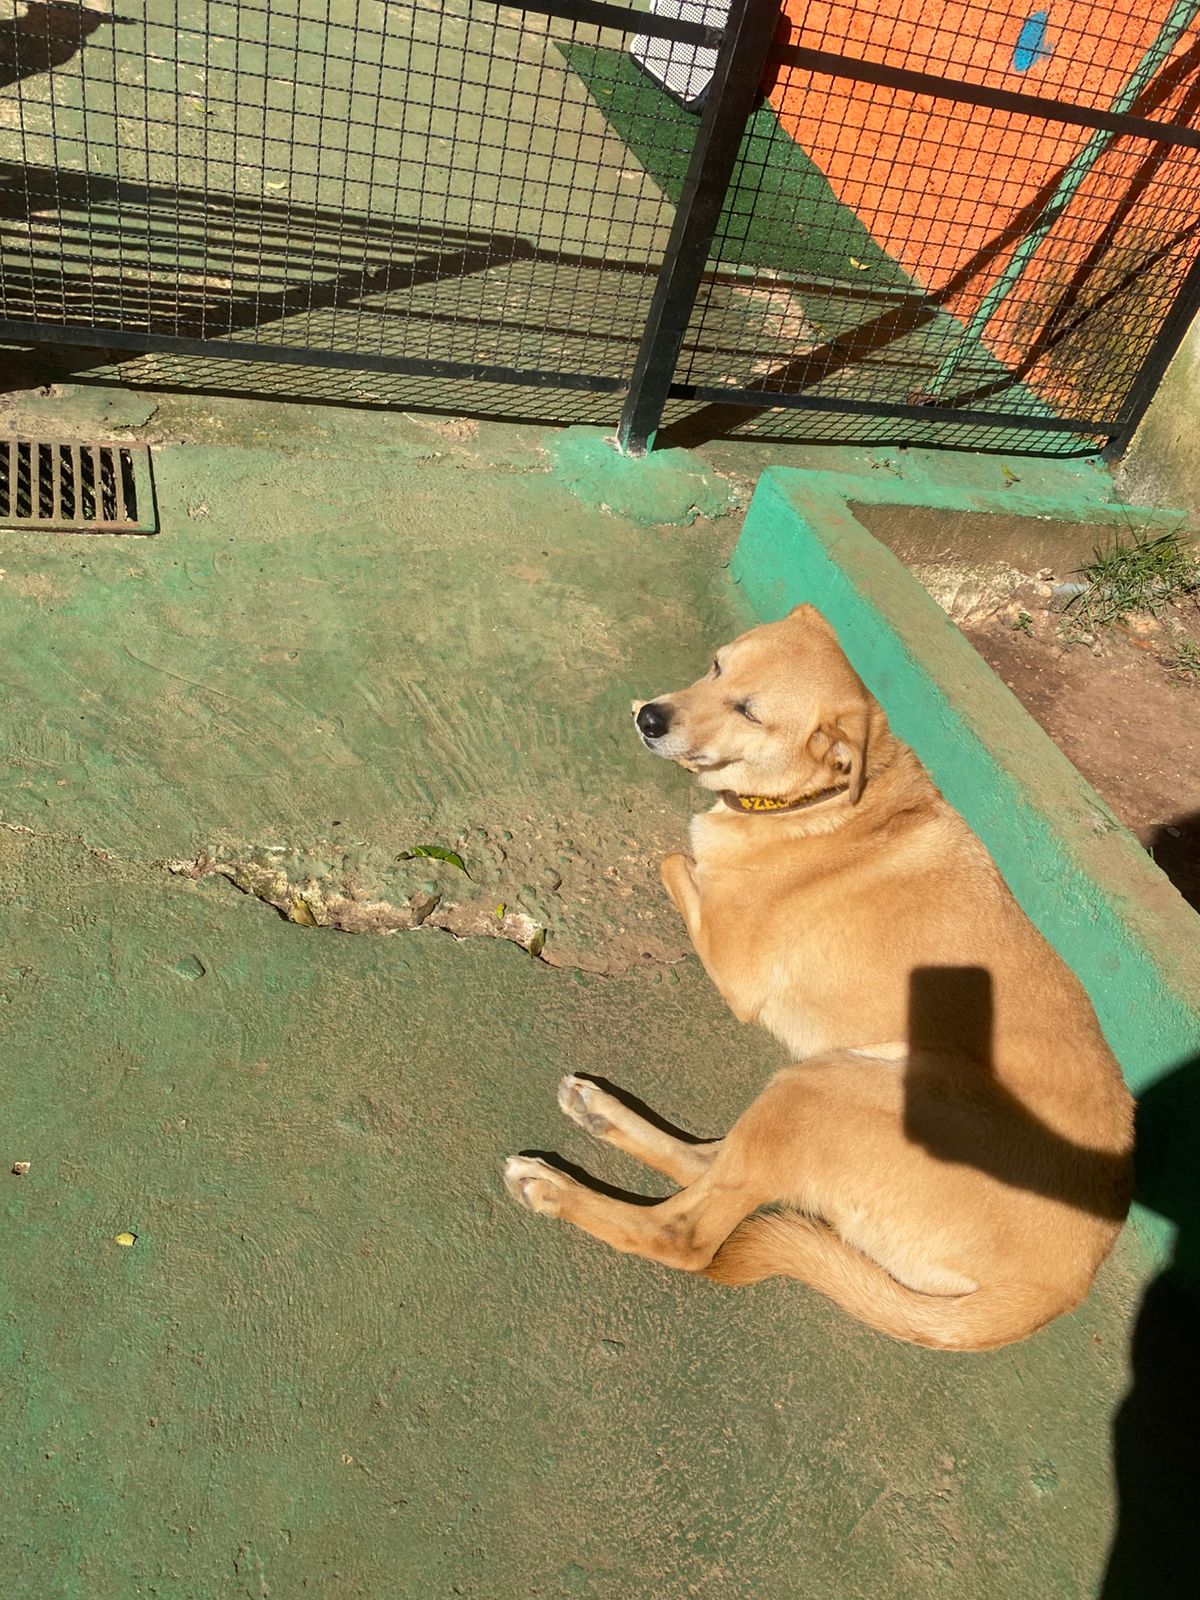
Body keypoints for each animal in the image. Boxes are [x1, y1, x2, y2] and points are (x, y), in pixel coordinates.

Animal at [505, 606, 1133, 1349]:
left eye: (749, 711)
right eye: (716, 666)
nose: (651, 717)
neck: (826, 798)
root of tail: (1057, 1288)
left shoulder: (733, 966)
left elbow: (675, 857)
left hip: (822, 1091)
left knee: (688, 1235)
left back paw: (554, 1189)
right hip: (819, 1086)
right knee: (710, 1164)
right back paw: (599, 1112)